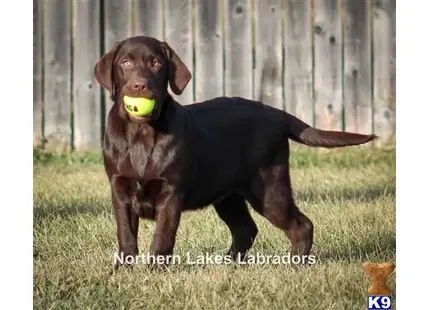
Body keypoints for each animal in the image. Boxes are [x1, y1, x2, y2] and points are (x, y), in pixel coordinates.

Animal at [94, 35, 376, 268]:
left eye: (155, 63)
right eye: (126, 63)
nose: (140, 86)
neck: (141, 134)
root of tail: (277, 113)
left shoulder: (171, 193)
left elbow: (162, 238)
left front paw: (155, 272)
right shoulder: (119, 189)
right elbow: (126, 235)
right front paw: (123, 272)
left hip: (268, 189)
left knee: (300, 225)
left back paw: (295, 264)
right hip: (228, 195)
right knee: (246, 229)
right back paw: (228, 264)